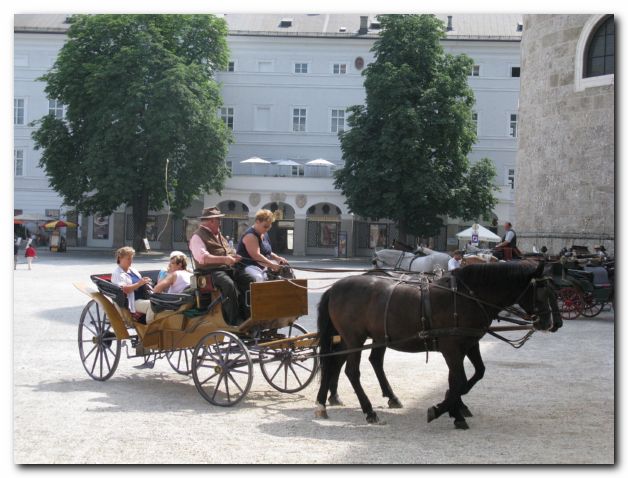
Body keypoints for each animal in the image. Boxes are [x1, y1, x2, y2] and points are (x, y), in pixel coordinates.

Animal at [316, 262, 560, 430]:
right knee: (351, 371)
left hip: (354, 338)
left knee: (335, 363)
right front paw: (442, 408)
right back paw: (367, 410)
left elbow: (474, 374)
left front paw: (454, 407)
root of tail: (336, 286)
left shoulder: (469, 344)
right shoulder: (451, 348)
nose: (552, 323)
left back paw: (324, 402)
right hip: (354, 338)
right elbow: (459, 380)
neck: (468, 297)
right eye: (542, 291)